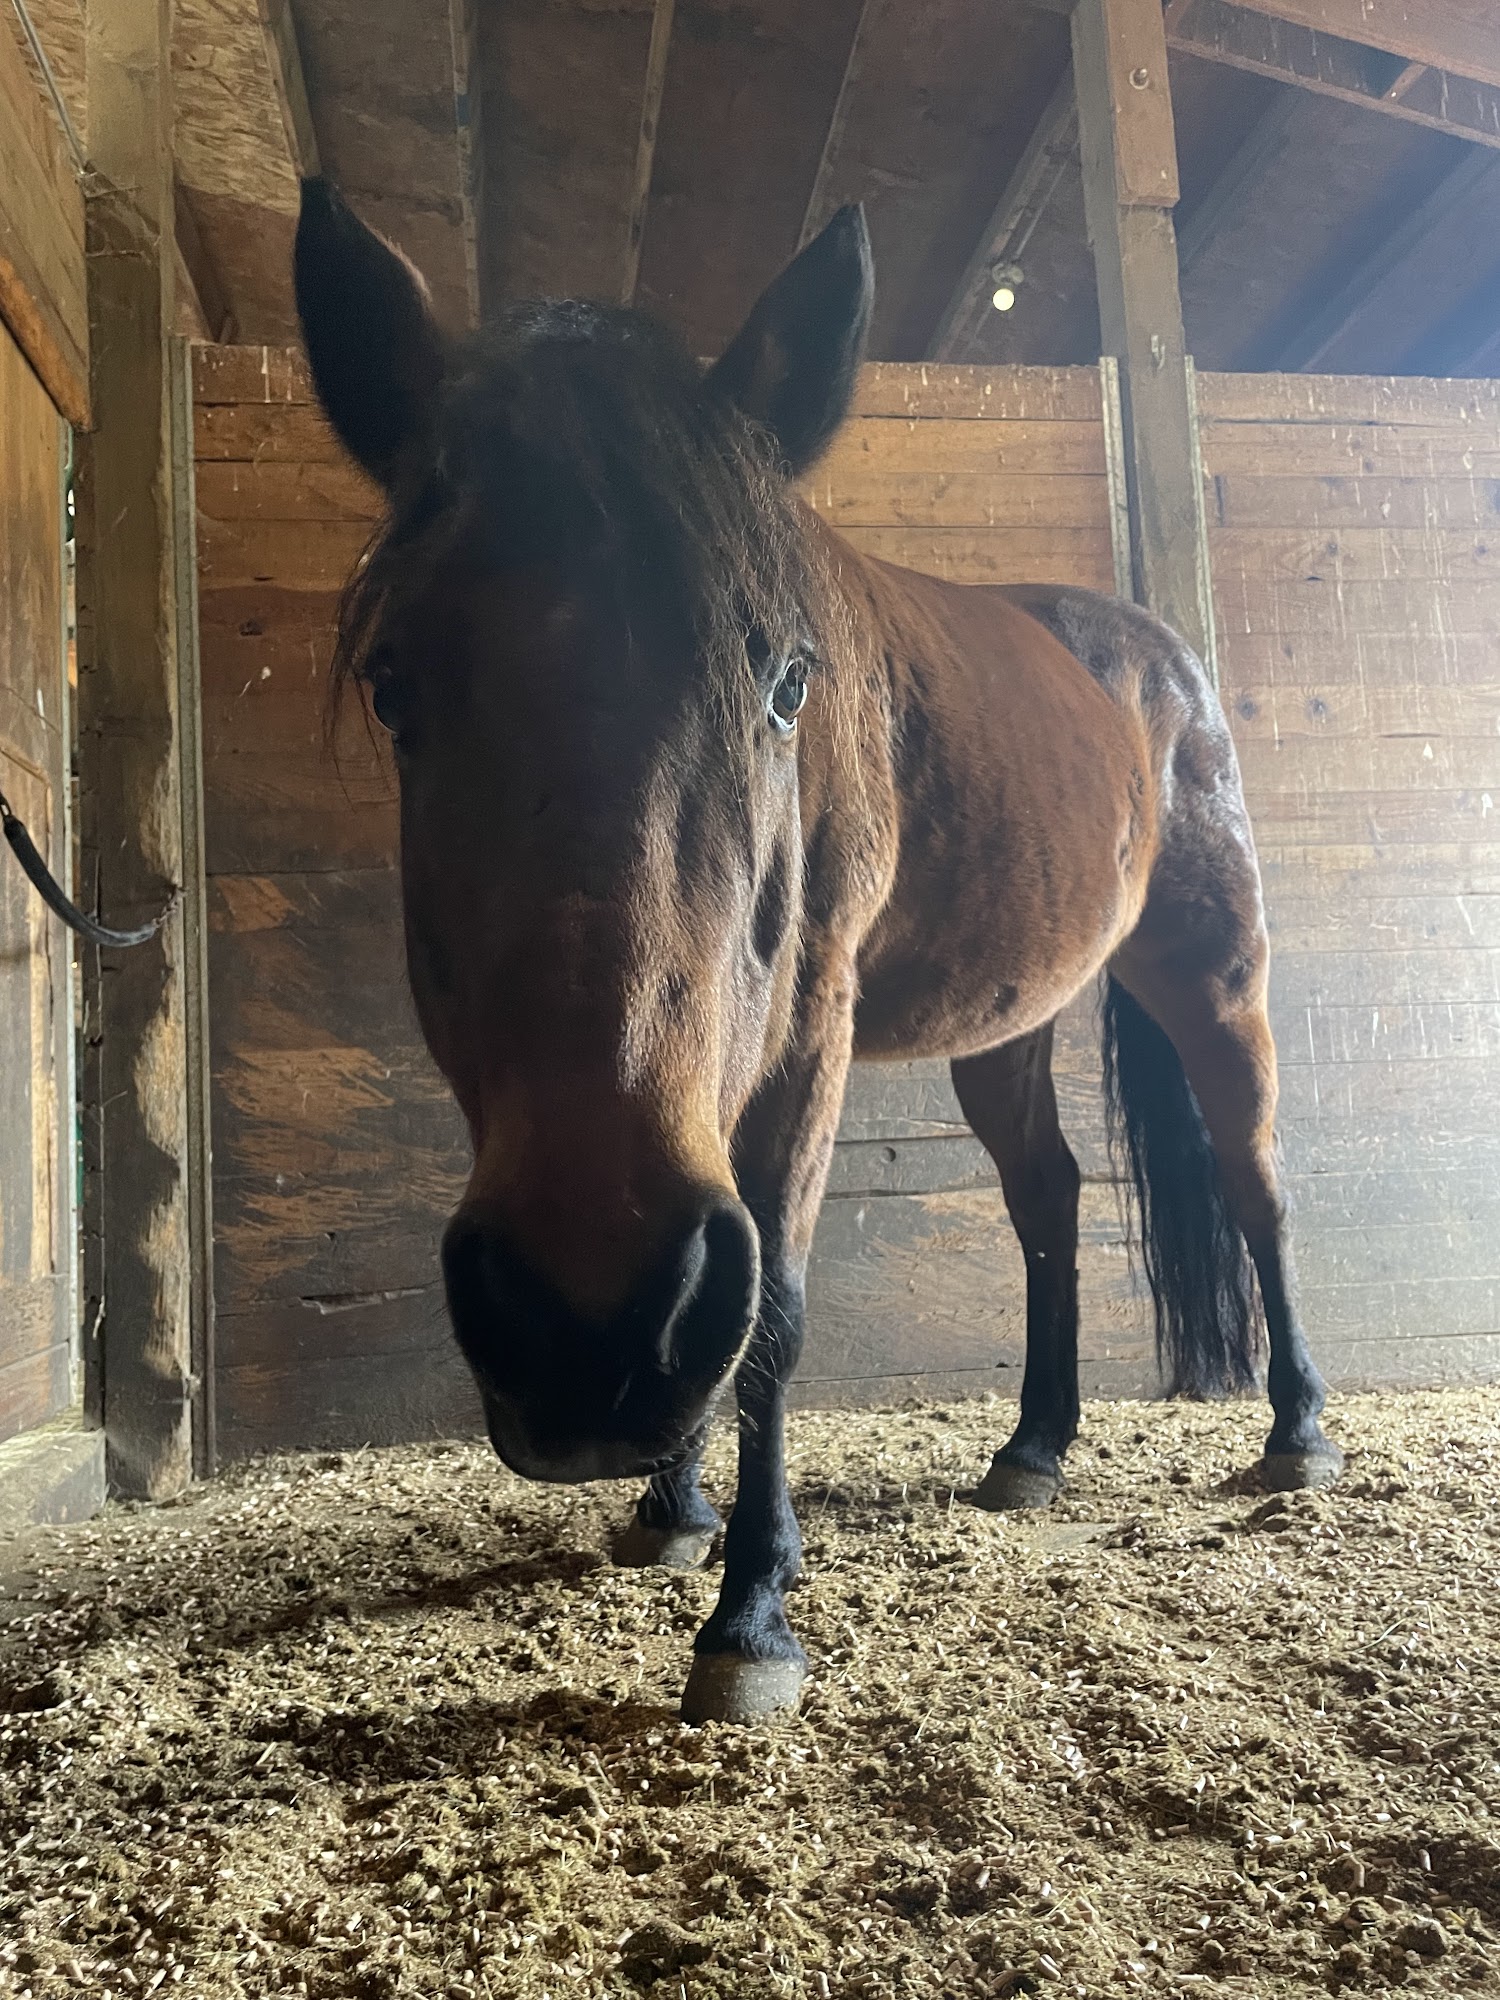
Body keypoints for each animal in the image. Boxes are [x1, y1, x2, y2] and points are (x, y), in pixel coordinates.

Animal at [290, 180, 1336, 1728]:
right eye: (393, 683)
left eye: (788, 681)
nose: (582, 1324)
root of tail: (1161, 656)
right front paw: (670, 1509)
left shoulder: (805, 1028)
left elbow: (769, 1305)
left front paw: (752, 1614)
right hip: (1006, 1027)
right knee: (1047, 1198)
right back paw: (1033, 1447)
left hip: (1213, 967)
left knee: (1257, 1185)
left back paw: (1300, 1432)